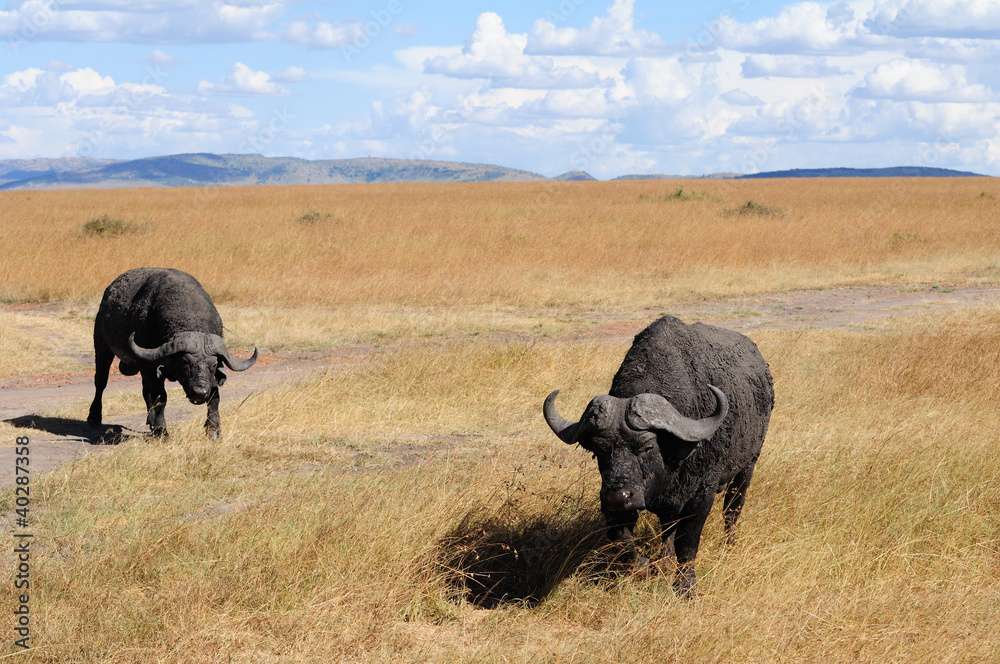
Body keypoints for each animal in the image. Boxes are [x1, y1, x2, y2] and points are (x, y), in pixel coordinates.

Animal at [87, 268, 257, 439]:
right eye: (184, 363)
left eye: (213, 365)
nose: (199, 393)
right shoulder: (150, 367)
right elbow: (160, 397)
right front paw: (161, 429)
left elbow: (214, 397)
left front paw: (213, 430)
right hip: (102, 345)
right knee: (101, 381)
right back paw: (94, 417)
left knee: (145, 392)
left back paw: (150, 419)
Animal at [543, 315, 773, 596]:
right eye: (599, 451)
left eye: (647, 447)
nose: (617, 497)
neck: (672, 460)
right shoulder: (618, 504)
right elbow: (622, 541)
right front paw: (645, 564)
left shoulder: (701, 495)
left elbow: (688, 543)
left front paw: (686, 587)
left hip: (747, 467)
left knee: (732, 510)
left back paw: (728, 545)